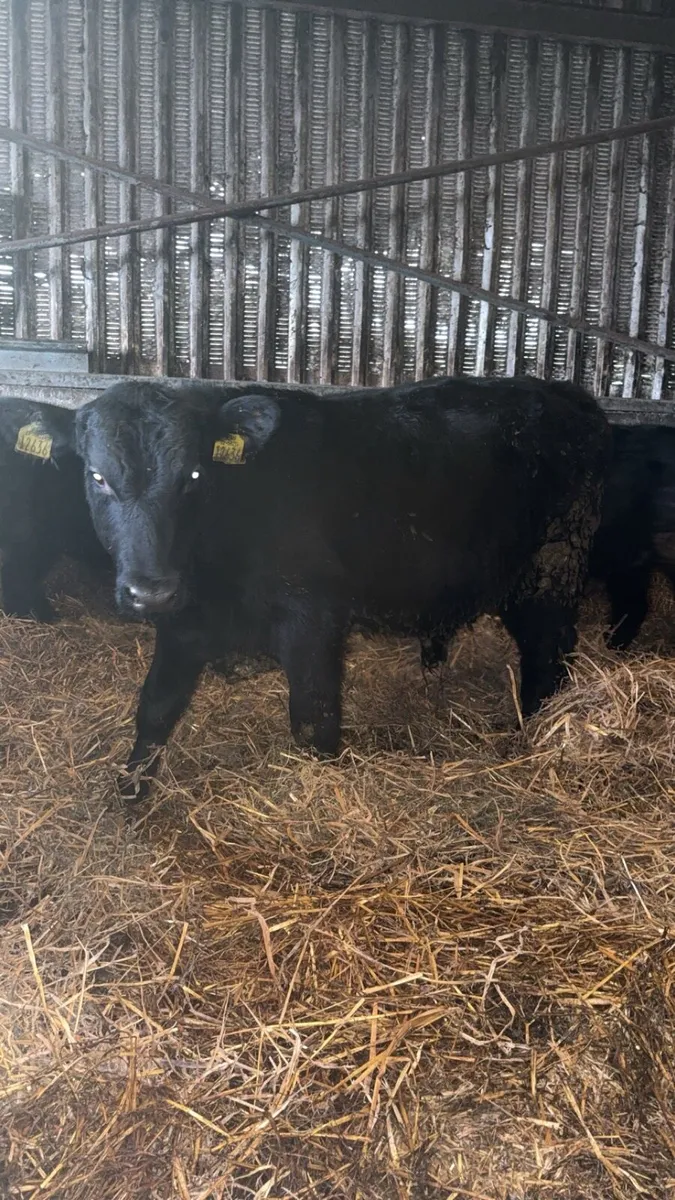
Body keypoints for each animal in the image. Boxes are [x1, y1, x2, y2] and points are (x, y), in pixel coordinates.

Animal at [40, 375, 609, 803]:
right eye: (97, 477)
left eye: (195, 475)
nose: (150, 591)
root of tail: (564, 393)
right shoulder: (184, 620)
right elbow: (155, 707)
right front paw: (130, 793)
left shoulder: (312, 618)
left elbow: (314, 719)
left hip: (549, 569)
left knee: (549, 652)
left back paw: (531, 734)